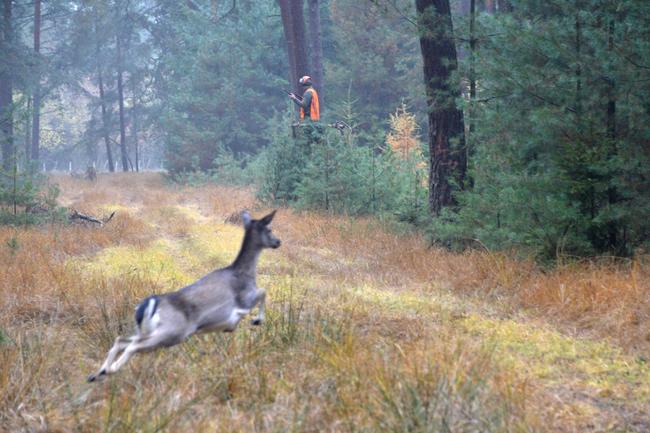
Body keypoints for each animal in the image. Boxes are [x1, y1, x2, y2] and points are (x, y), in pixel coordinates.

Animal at [86, 209, 278, 382]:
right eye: (269, 229)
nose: (278, 241)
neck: (245, 273)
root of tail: (148, 305)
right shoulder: (245, 299)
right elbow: (263, 292)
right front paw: (257, 320)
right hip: (173, 332)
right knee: (132, 346)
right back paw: (109, 370)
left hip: (149, 331)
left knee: (121, 340)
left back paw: (97, 373)